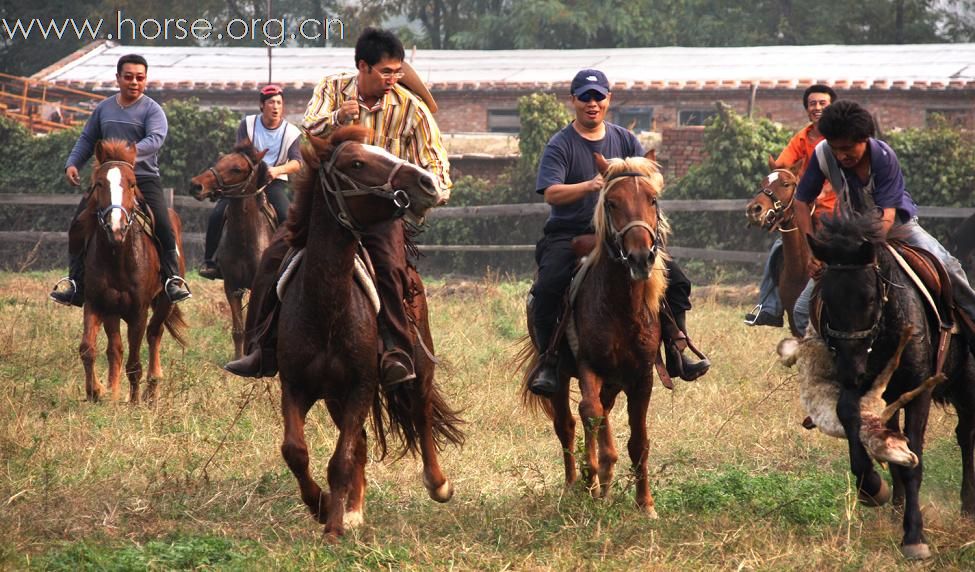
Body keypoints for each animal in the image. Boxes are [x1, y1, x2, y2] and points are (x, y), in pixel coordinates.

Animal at [77, 140, 188, 402]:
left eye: (132, 183)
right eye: (99, 183)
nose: (115, 227)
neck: (118, 255)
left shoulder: (138, 312)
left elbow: (135, 363)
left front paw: (134, 401)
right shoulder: (97, 303)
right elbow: (88, 348)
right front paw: (97, 391)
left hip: (164, 303)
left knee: (154, 333)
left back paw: (151, 388)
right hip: (113, 311)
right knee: (115, 349)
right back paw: (114, 390)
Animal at [190, 142, 274, 358]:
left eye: (237, 169)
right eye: (220, 160)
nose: (196, 185)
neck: (244, 240)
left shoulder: (258, 288)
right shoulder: (232, 286)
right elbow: (238, 330)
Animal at [268, 126, 464, 540]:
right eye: (356, 163)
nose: (427, 183)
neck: (326, 308)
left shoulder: (360, 385)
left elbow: (340, 459)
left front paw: (332, 528)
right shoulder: (295, 386)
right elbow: (296, 451)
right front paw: (323, 506)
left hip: (418, 366)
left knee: (421, 413)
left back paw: (437, 483)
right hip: (334, 398)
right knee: (358, 443)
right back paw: (353, 509)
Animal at [520, 152, 672, 512]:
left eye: (652, 199)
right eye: (612, 203)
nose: (641, 258)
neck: (621, 308)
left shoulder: (642, 376)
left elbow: (639, 440)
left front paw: (645, 503)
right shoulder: (589, 366)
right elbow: (589, 415)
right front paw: (592, 480)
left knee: (601, 413)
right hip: (560, 377)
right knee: (568, 423)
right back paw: (576, 483)